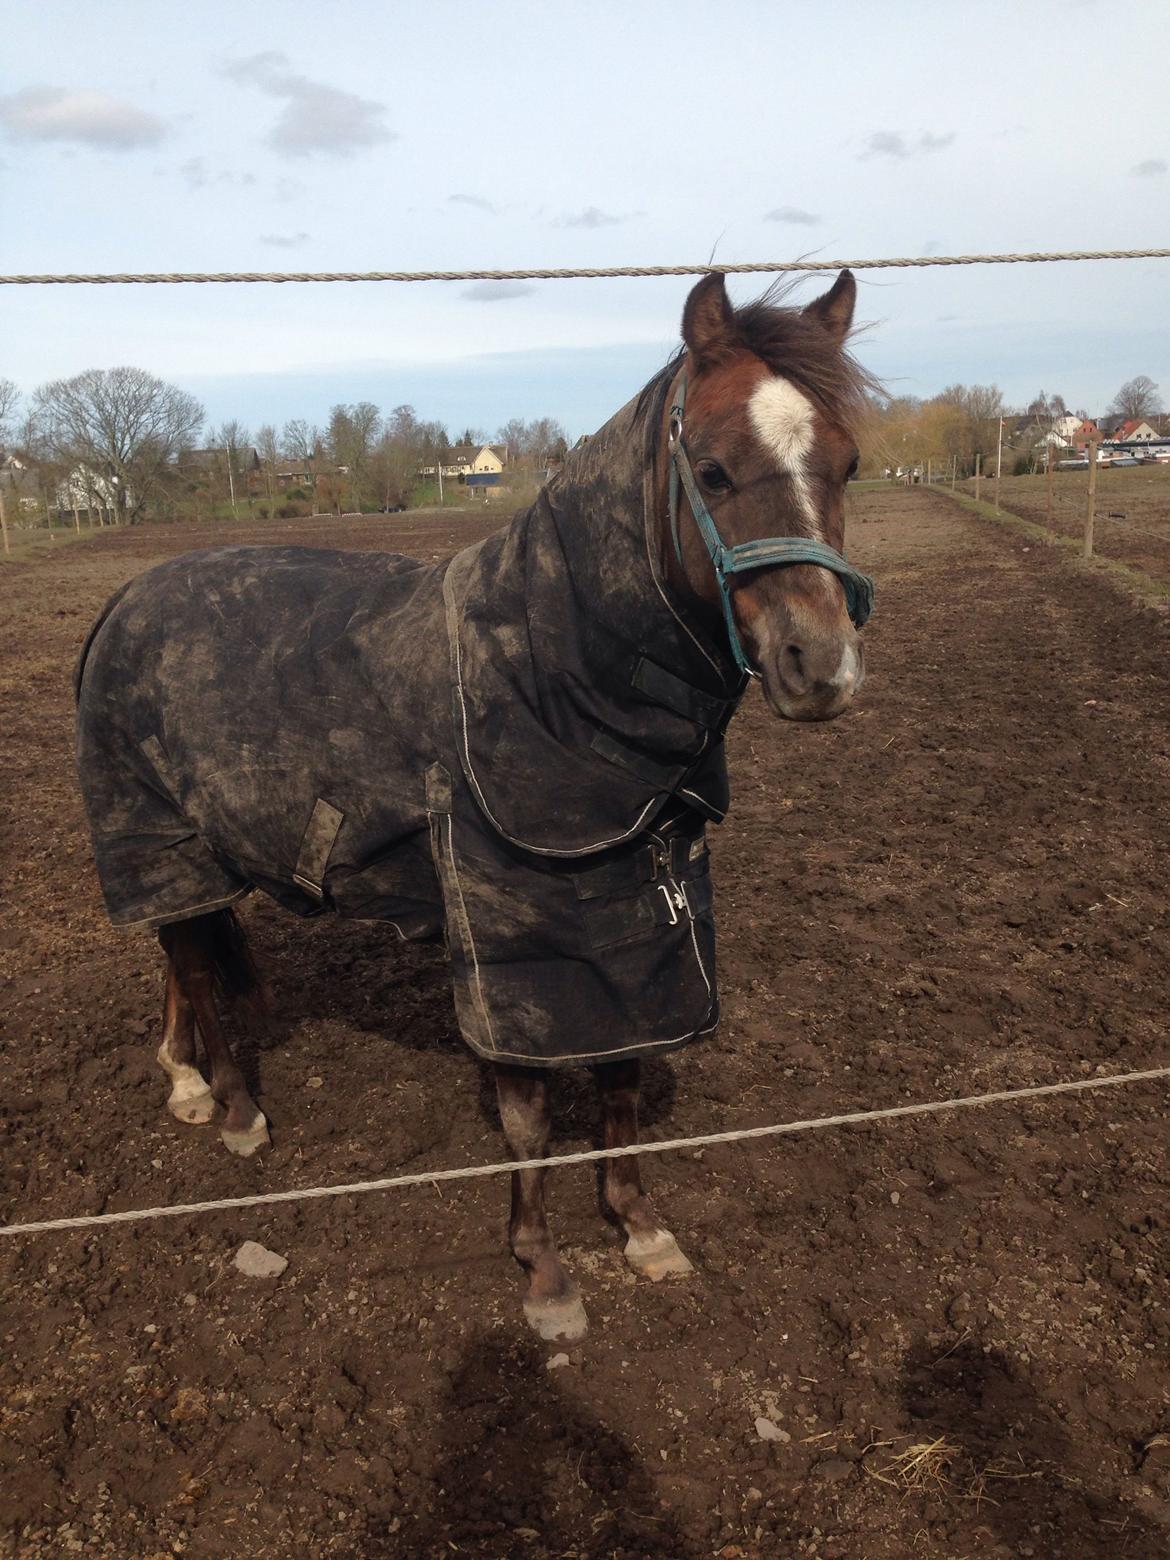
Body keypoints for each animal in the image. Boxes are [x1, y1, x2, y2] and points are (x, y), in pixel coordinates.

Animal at [74, 270, 875, 1342]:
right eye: (710, 471)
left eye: (848, 463)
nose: (819, 668)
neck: (546, 668)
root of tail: (127, 597)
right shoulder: (517, 934)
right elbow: (529, 1112)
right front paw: (545, 1272)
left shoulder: (634, 922)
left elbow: (622, 1077)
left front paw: (640, 1226)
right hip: (154, 836)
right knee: (195, 967)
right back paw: (238, 1113)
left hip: (197, 848)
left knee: (184, 949)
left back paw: (187, 1082)